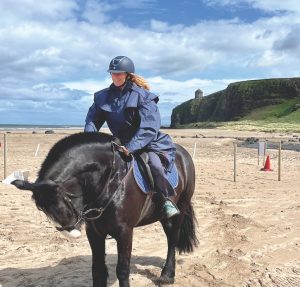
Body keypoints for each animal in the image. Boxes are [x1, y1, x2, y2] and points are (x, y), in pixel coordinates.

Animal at [11, 133, 198, 287]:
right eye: (43, 209)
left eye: (61, 202)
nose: (71, 233)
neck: (109, 182)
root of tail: (183, 153)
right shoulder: (94, 233)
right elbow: (98, 271)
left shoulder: (125, 232)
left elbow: (122, 270)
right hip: (163, 216)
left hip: (180, 209)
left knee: (172, 239)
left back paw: (167, 275)